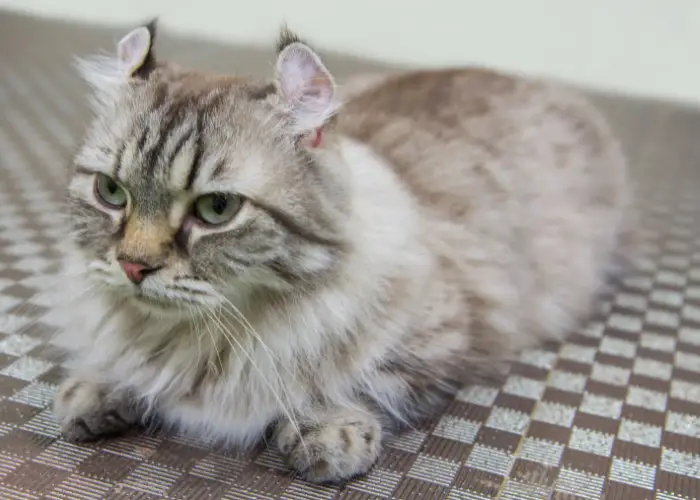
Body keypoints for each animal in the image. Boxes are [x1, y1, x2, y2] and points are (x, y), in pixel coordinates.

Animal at [52, 20, 636, 484]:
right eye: (111, 192)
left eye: (216, 209)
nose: (133, 266)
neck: (198, 339)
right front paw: (101, 388)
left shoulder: (448, 329)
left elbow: (346, 381)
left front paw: (327, 433)